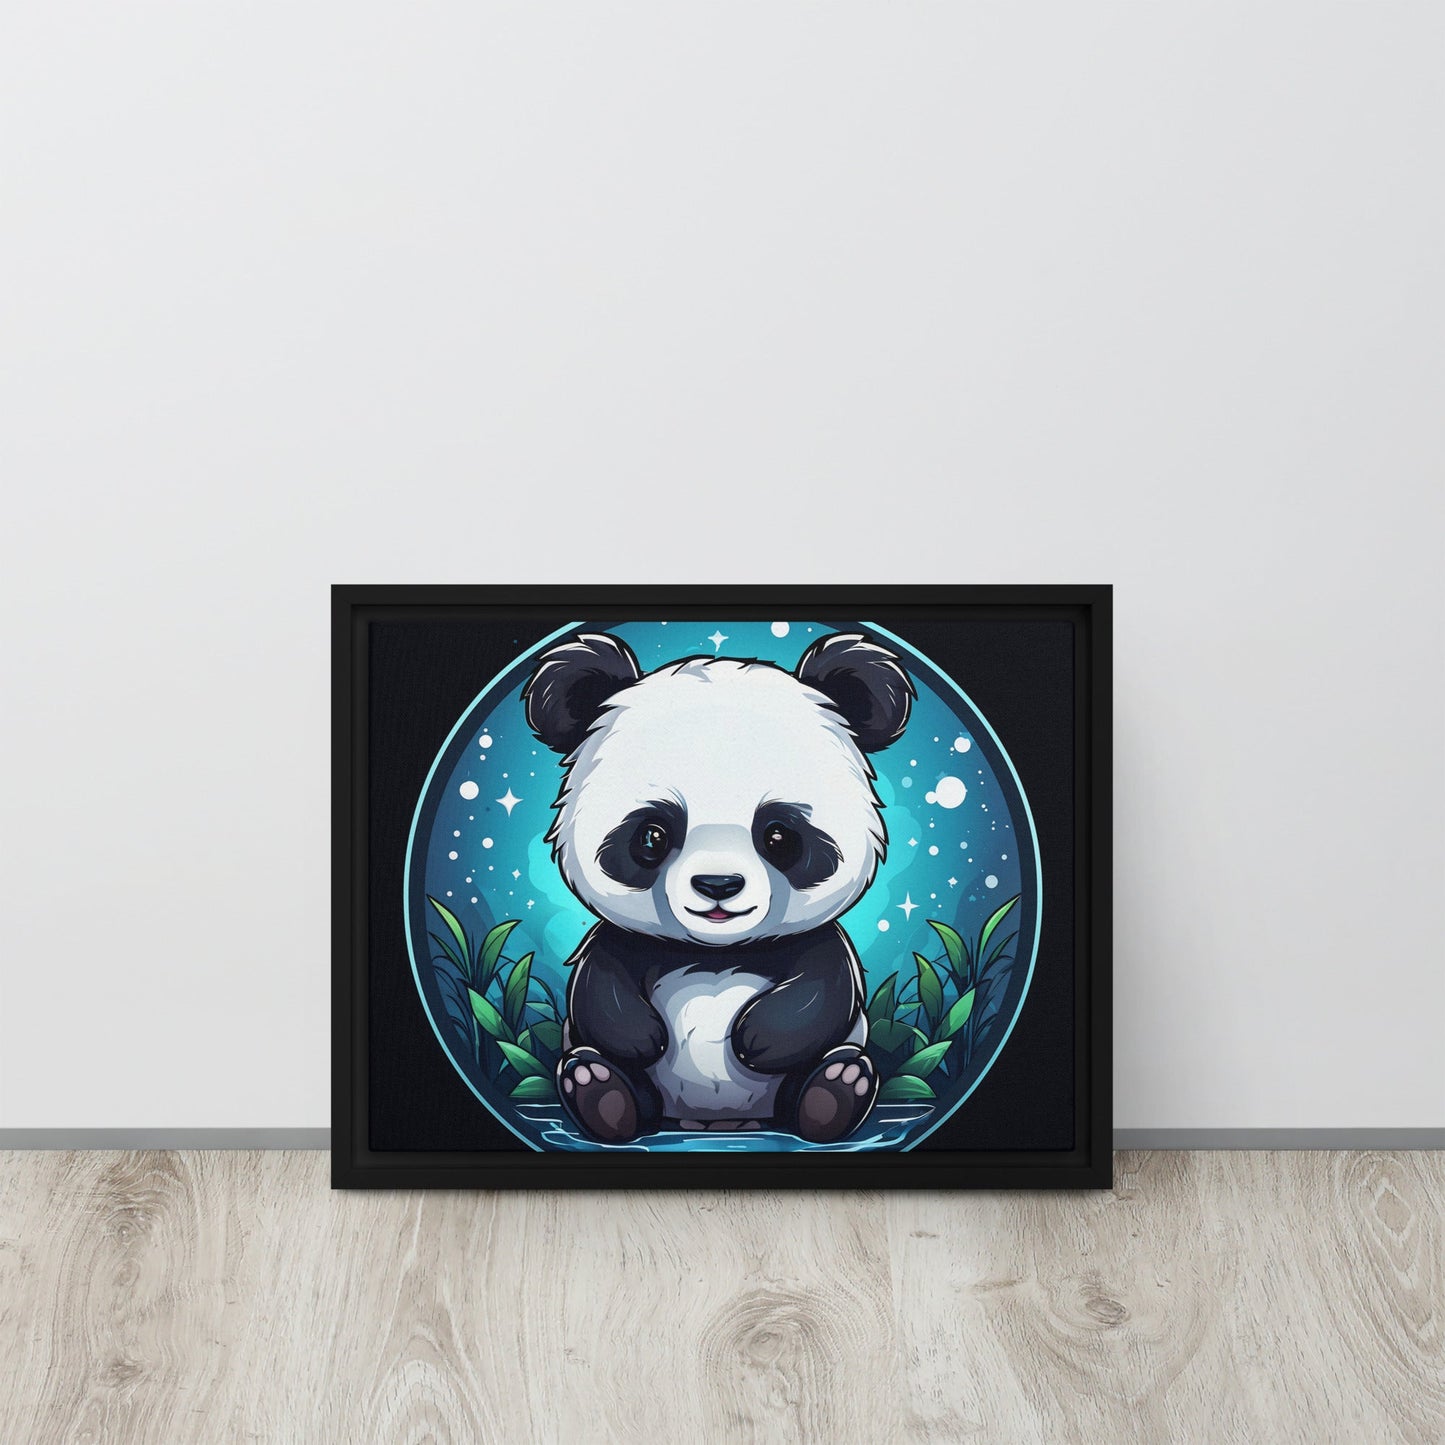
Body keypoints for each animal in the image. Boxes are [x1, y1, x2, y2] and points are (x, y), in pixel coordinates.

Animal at [522, 629, 913, 1145]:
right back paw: (601, 1091)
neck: (715, 953)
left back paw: (834, 1090)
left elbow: (826, 988)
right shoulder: (626, 939)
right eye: (652, 835)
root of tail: (716, 1122)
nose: (718, 885)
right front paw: (641, 1036)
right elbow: (597, 984)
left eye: (779, 836)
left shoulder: (814, 941)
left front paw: (758, 1039)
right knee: (616, 1081)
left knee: (819, 1077)